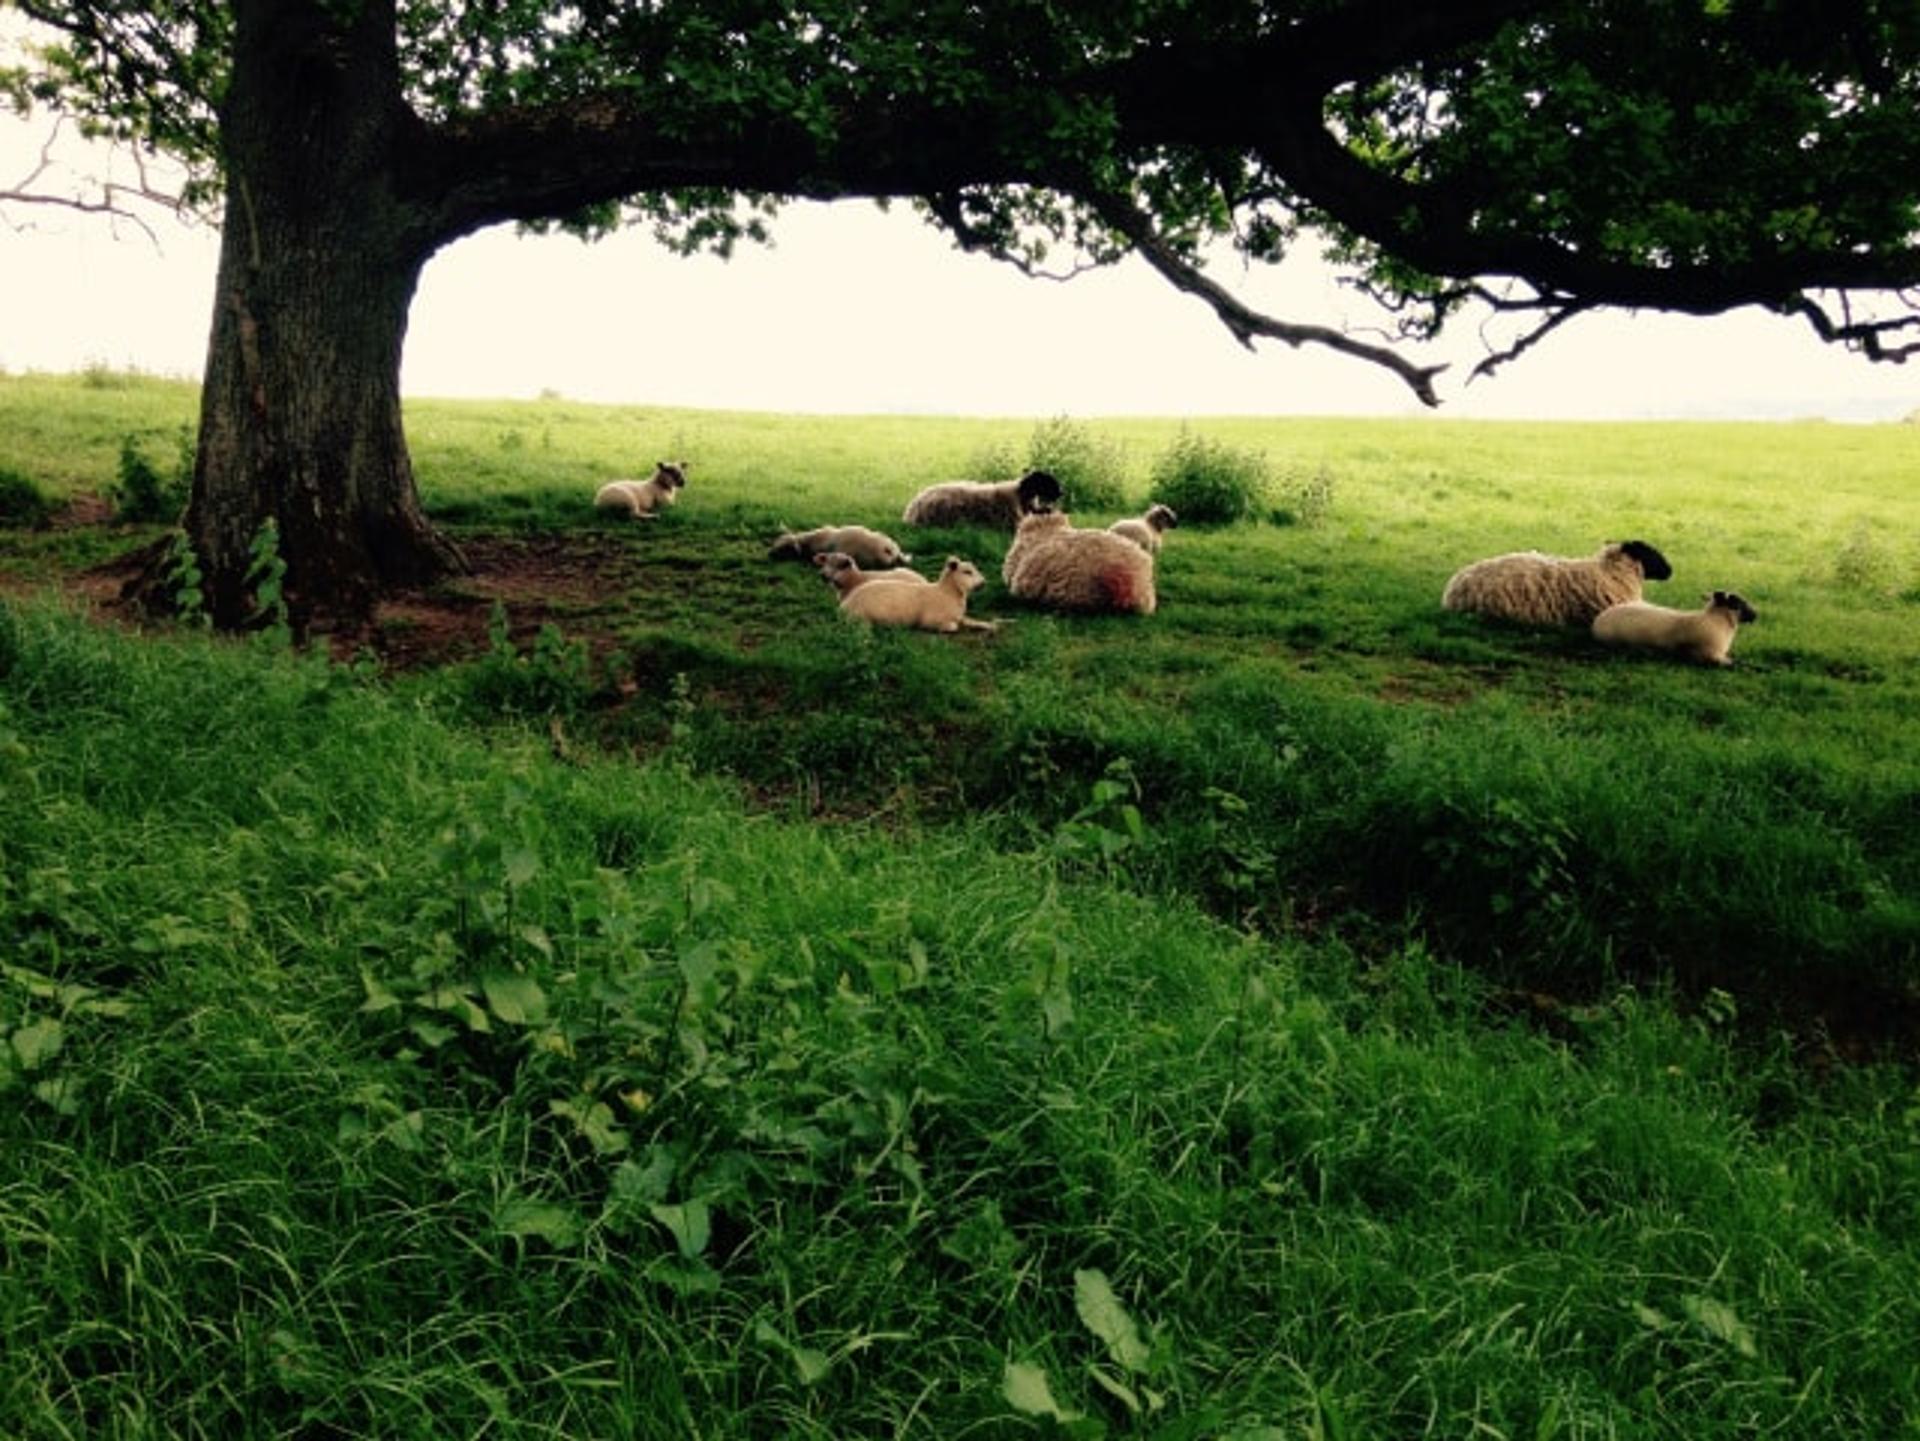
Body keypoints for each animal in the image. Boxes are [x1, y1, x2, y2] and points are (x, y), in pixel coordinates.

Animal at [840, 555, 997, 633]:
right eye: (967, 572)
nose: (984, 583)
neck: (946, 593)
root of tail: (845, 603)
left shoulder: (960, 616)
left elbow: (973, 621)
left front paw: (991, 625)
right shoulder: (929, 621)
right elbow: (954, 626)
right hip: (860, 617)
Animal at [1592, 590, 1756, 666]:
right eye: (1737, 603)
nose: (1756, 615)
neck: (1716, 621)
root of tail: (1597, 621)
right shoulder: (1709, 656)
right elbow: (1736, 664)